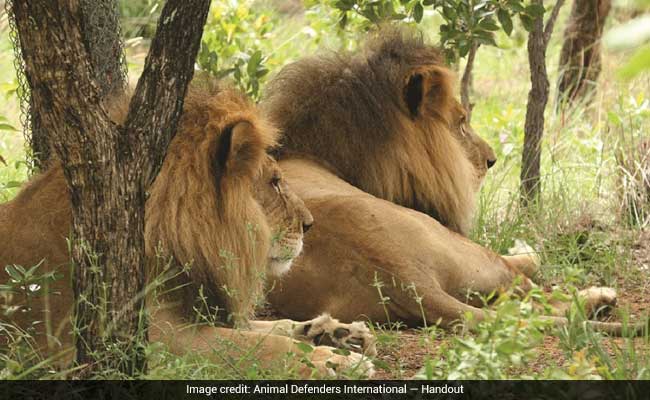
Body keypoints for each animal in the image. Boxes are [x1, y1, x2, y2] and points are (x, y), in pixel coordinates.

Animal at [0, 80, 375, 377]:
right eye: (274, 182)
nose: (310, 224)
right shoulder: (151, 340)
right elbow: (259, 345)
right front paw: (334, 361)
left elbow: (272, 327)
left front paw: (336, 332)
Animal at [262, 28, 645, 335]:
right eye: (460, 123)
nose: (491, 160)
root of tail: (401, 275)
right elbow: (533, 258)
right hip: (468, 250)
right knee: (530, 293)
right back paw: (599, 298)